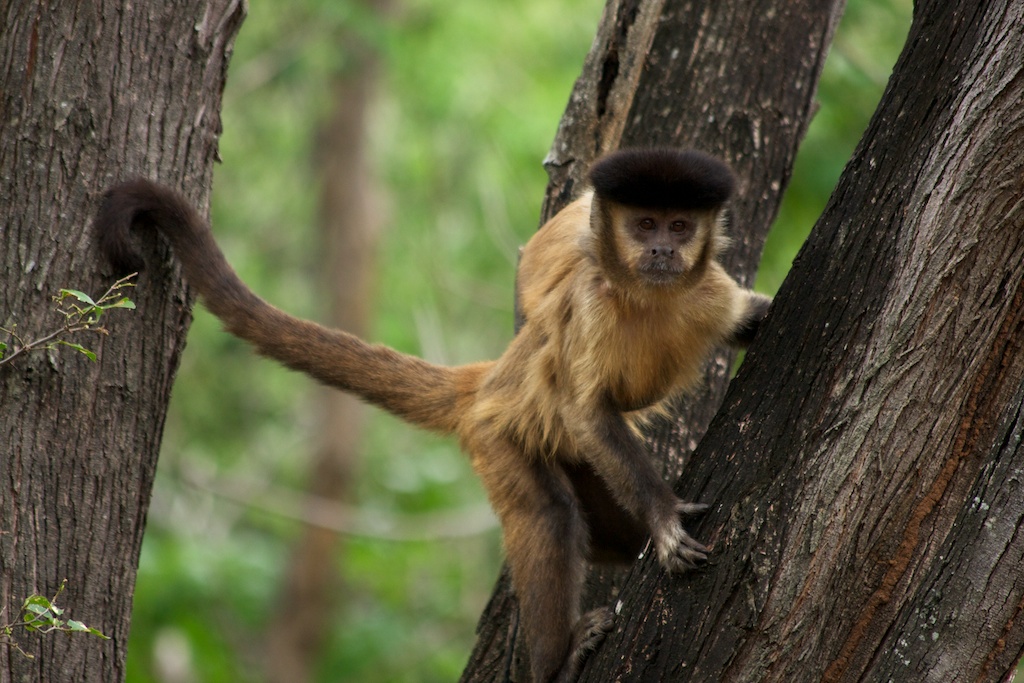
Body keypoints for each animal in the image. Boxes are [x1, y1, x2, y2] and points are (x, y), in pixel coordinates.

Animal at [94, 147, 771, 683]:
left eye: (680, 226)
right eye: (645, 223)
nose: (660, 248)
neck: (651, 295)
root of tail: (491, 380)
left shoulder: (709, 290)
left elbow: (744, 321)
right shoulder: (591, 301)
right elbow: (587, 410)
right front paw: (663, 518)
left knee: (608, 533)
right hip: (498, 435)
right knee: (549, 513)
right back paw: (556, 663)